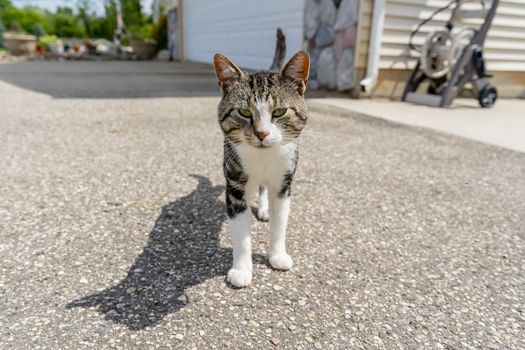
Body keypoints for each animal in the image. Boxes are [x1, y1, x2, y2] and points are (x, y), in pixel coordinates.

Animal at [213, 28, 310, 288]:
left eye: (279, 111)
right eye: (244, 112)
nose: (262, 133)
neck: (263, 158)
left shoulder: (284, 183)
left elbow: (280, 224)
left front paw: (277, 256)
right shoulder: (235, 185)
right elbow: (240, 233)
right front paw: (241, 270)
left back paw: (264, 209)